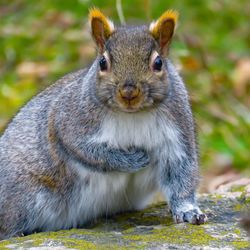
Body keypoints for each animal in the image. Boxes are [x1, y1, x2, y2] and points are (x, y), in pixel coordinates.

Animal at [0, 7, 207, 238]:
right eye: (103, 63)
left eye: (158, 63)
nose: (128, 92)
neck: (132, 114)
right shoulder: (68, 120)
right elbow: (88, 152)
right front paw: (132, 160)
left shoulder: (177, 133)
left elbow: (182, 173)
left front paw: (188, 211)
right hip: (21, 198)